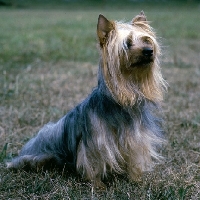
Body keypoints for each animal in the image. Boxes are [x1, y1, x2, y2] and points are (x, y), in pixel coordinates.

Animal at [7, 12, 166, 188]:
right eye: (127, 44)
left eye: (146, 40)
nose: (149, 51)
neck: (122, 99)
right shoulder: (95, 142)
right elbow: (92, 162)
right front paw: (98, 186)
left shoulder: (135, 140)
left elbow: (134, 160)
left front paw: (136, 180)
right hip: (39, 157)